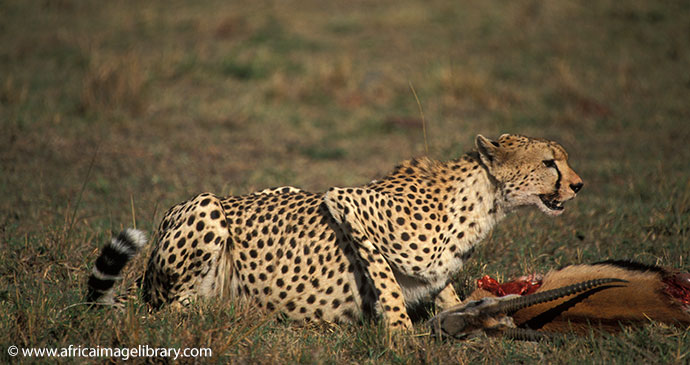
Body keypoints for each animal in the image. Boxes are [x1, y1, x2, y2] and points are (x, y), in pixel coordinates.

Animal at [86, 134, 580, 330]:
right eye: (549, 163)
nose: (578, 185)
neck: (483, 201)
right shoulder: (345, 200)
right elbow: (386, 281)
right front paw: (401, 335)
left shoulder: (436, 269)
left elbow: (444, 291)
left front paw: (478, 316)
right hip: (206, 209)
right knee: (167, 312)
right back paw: (223, 311)